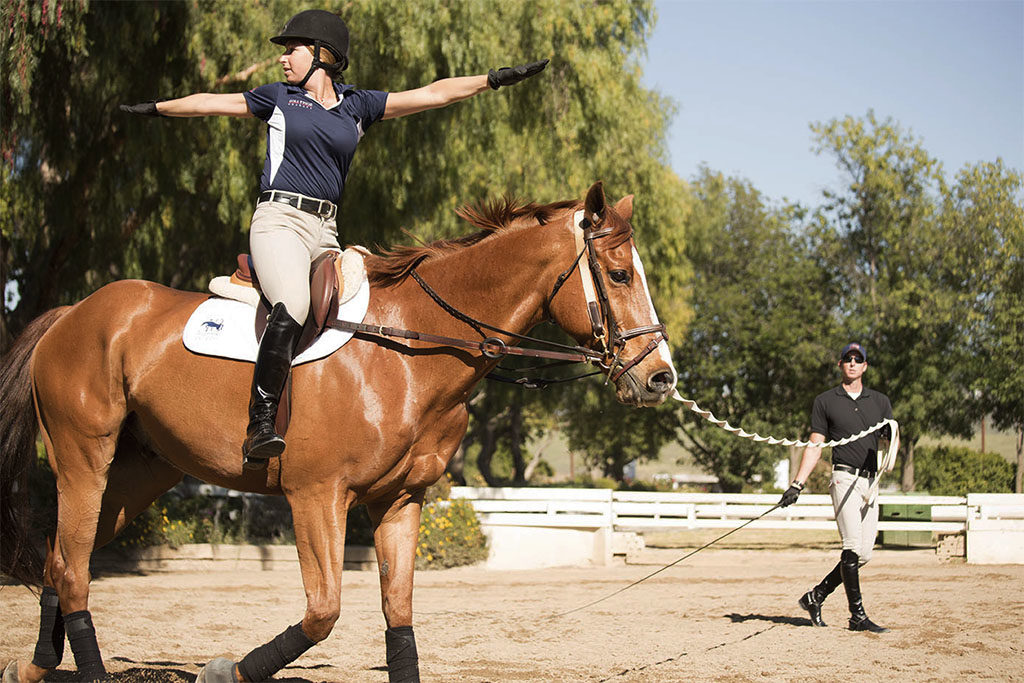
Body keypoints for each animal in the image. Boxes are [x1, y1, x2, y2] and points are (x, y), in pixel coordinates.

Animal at [2, 181, 679, 683]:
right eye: (620, 276)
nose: (659, 378)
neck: (410, 350)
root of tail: (74, 313)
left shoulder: (400, 501)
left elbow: (398, 613)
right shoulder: (316, 497)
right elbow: (323, 612)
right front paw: (226, 669)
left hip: (142, 471)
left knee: (63, 560)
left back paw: (35, 668)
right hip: (84, 459)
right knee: (73, 568)